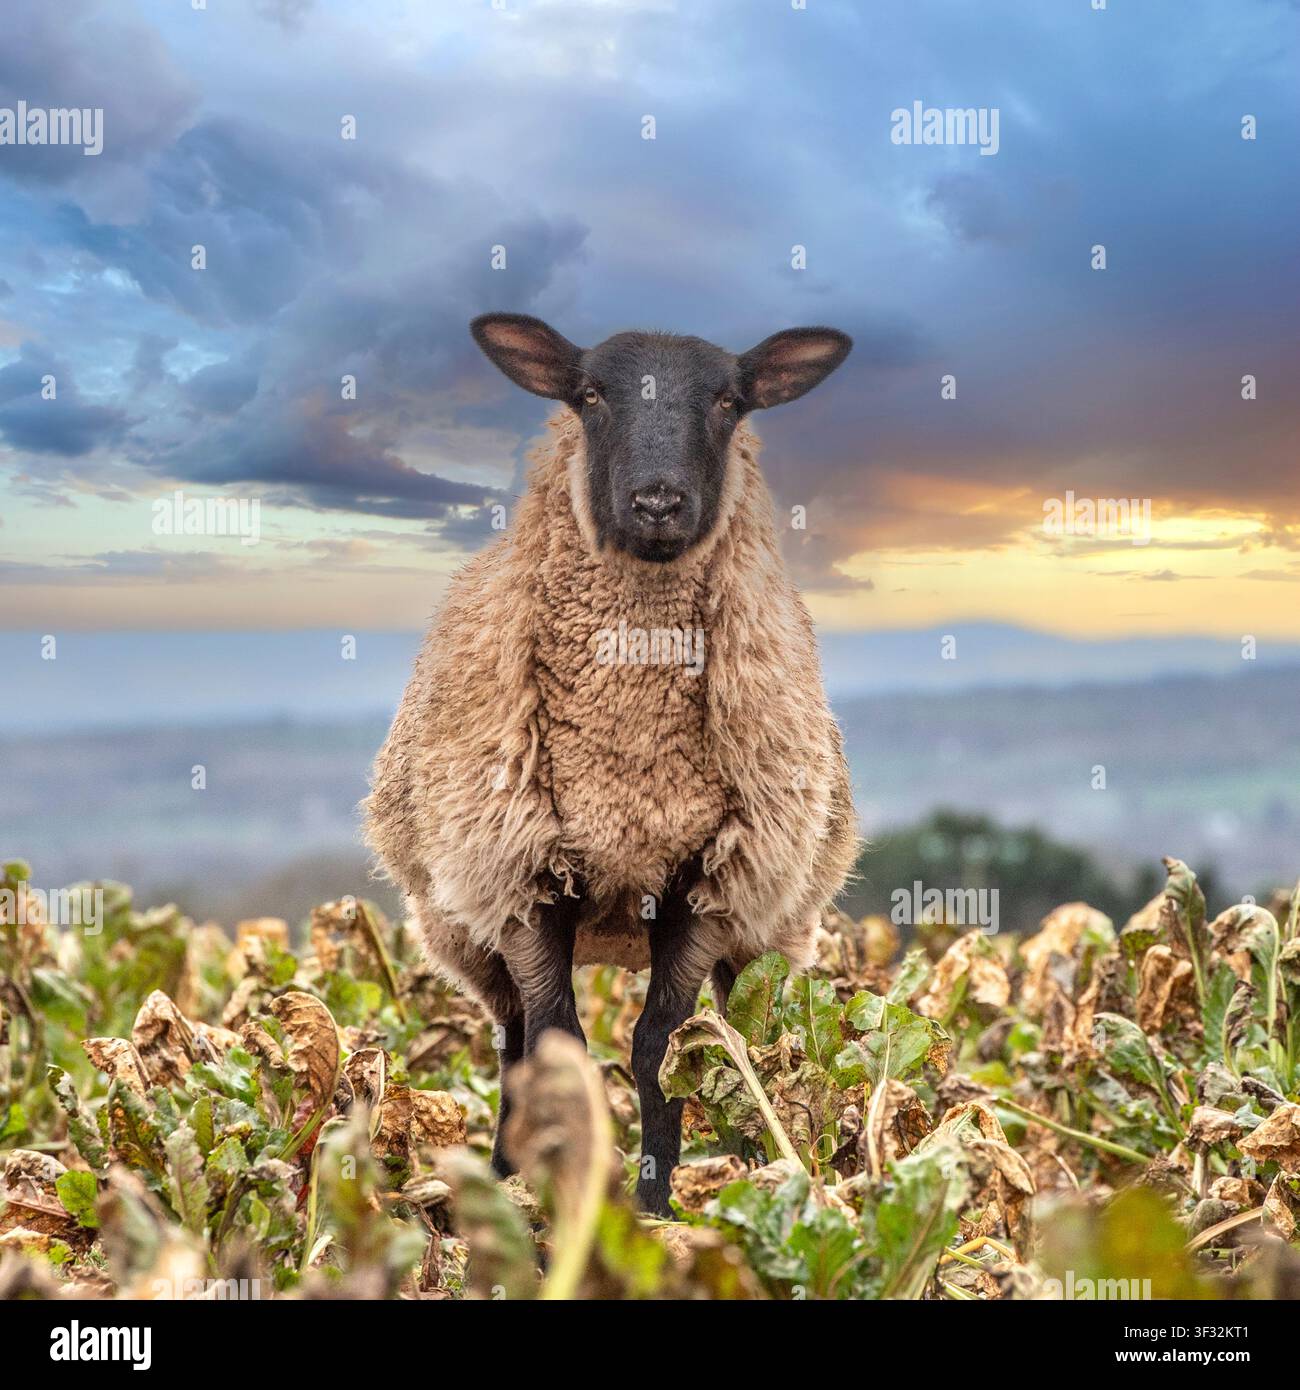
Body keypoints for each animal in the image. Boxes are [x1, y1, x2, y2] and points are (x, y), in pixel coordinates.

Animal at [364, 314, 858, 1214]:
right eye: (590, 394)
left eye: (728, 400)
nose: (659, 502)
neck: (630, 770)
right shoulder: (522, 882)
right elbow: (557, 1043)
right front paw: (562, 1195)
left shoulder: (707, 884)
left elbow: (661, 1047)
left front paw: (655, 1203)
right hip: (465, 934)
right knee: (511, 1041)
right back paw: (500, 1176)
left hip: (769, 931)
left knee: (741, 1034)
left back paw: (758, 1161)